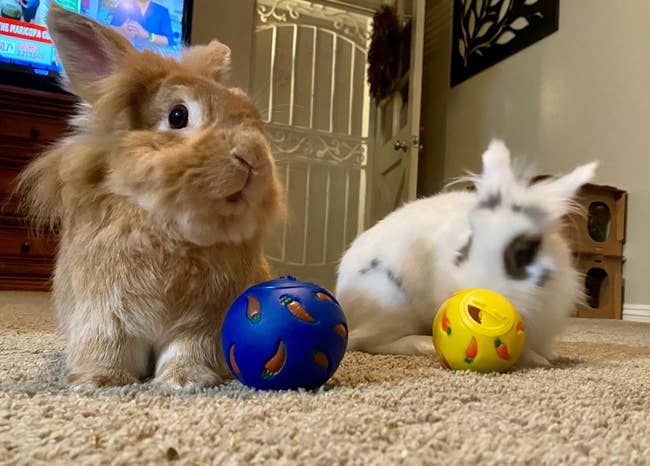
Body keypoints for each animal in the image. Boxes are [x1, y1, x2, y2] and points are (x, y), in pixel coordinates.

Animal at [16, 4, 284, 388]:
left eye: (250, 112)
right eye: (178, 115)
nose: (254, 158)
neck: (169, 227)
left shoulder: (203, 324)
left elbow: (189, 349)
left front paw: (185, 381)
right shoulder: (103, 315)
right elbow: (107, 345)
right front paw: (98, 380)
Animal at [336, 140, 597, 367]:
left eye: (526, 251)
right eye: (470, 240)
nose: (480, 304)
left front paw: (544, 357)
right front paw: (537, 360)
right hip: (391, 302)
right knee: (368, 341)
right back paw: (426, 344)